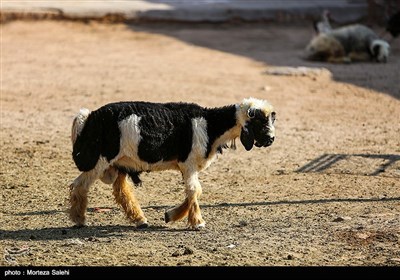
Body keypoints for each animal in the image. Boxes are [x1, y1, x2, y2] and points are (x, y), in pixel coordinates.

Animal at [69, 97, 276, 229]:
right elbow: (194, 190)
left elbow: (194, 191)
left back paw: (140, 220)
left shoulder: (187, 167)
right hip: (98, 160)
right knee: (80, 185)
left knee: (121, 191)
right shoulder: (188, 163)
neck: (210, 125)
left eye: (271, 119)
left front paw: (171, 215)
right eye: (259, 121)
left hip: (120, 163)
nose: (271, 139)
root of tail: (88, 118)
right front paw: (197, 222)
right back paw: (79, 220)